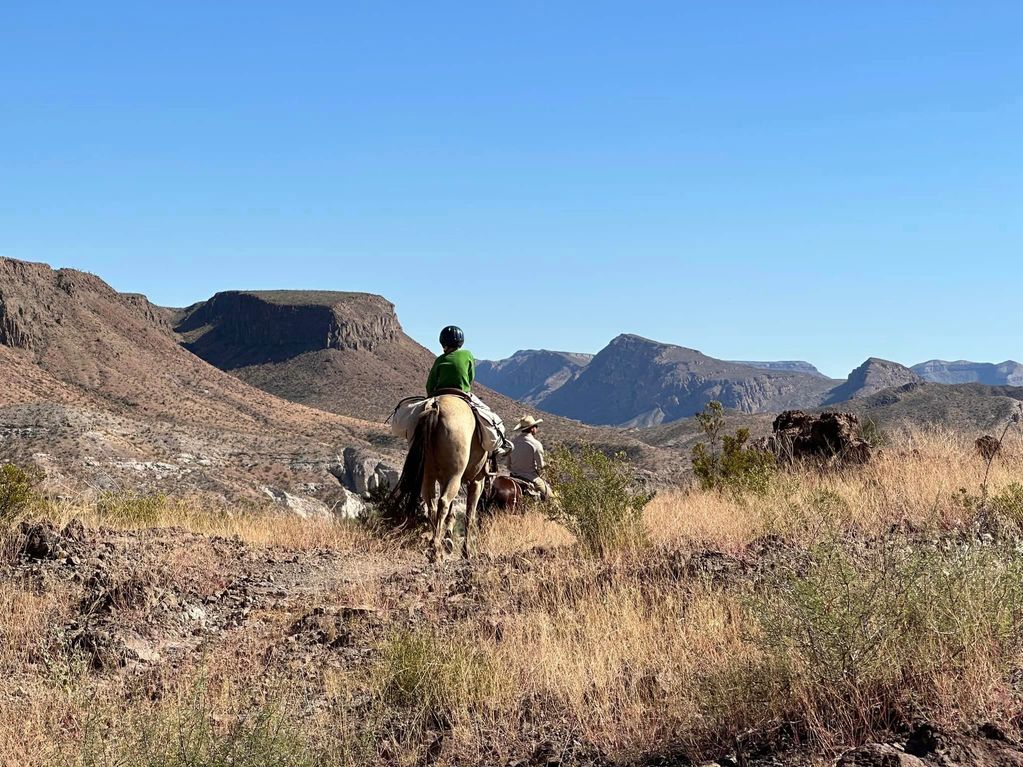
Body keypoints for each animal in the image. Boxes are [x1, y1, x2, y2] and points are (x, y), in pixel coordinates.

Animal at [388, 392, 488, 560]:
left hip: (428, 474)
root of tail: (435, 406)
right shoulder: (477, 481)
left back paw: (435, 544)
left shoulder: (442, 479)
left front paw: (448, 539)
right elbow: (469, 515)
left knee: (432, 505)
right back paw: (436, 549)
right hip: (455, 475)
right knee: (443, 502)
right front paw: (466, 551)